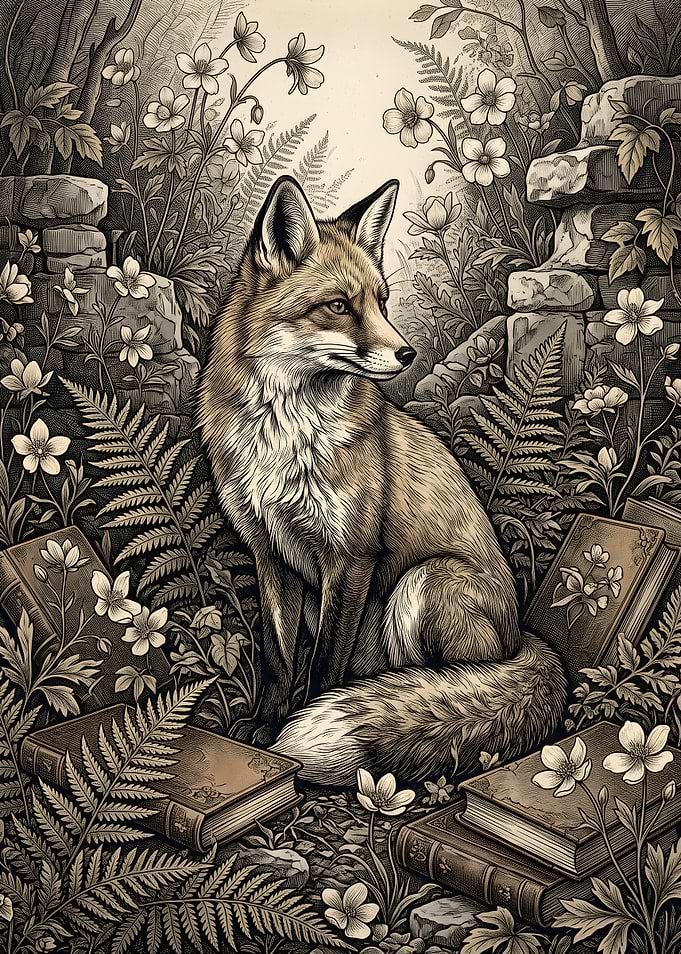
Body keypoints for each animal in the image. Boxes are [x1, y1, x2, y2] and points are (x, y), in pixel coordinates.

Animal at [196, 174, 567, 787]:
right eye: (339, 306)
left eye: (382, 300)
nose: (407, 352)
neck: (286, 437)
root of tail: (521, 637)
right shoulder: (269, 554)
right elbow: (277, 658)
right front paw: (266, 728)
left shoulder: (352, 558)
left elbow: (324, 667)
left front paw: (295, 734)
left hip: (419, 587)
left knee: (443, 683)